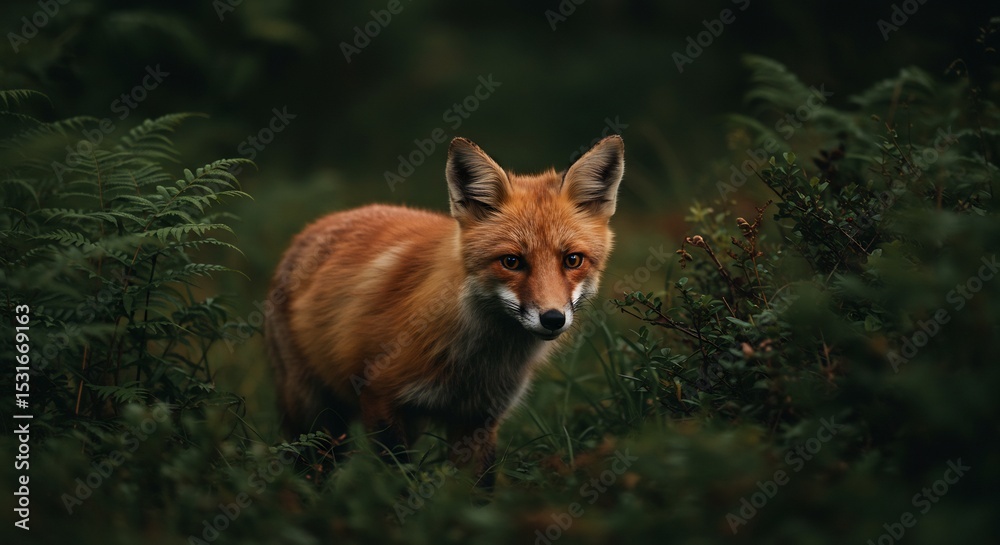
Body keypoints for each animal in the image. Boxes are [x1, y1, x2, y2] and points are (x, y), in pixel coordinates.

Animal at [265, 135, 624, 487]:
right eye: (511, 261)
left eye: (572, 260)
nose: (552, 319)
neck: (476, 364)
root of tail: (320, 222)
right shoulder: (378, 397)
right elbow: (399, 482)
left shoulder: (479, 419)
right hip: (313, 414)